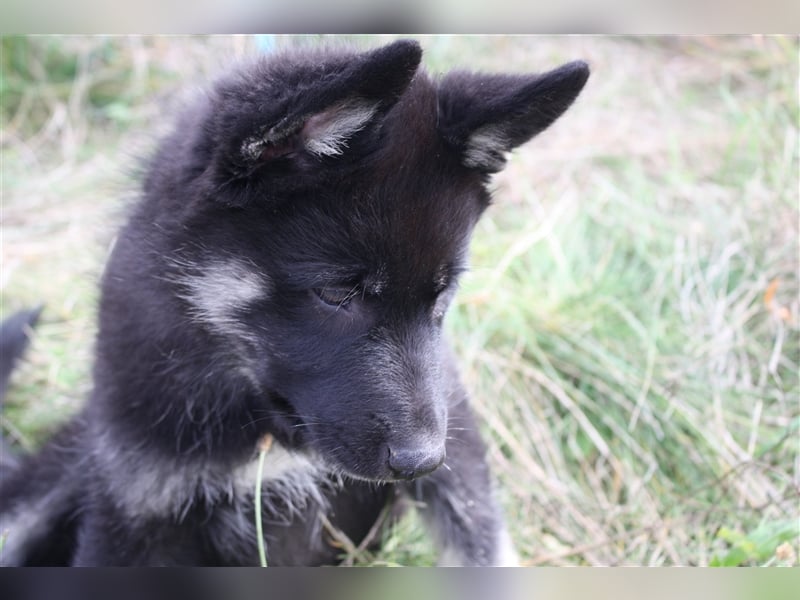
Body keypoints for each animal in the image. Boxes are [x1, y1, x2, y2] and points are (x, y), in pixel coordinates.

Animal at [0, 39, 588, 564]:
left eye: (441, 294)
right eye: (336, 292)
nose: (422, 461)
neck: (263, 423)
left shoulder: (459, 454)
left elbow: (482, 546)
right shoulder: (136, 512)